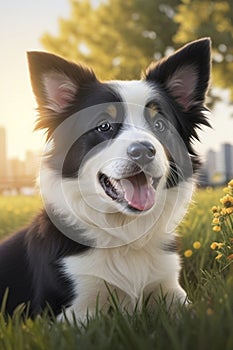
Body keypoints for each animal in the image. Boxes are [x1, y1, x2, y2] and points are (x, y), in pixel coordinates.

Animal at [0, 37, 211, 320]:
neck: (124, 235)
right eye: (103, 126)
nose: (143, 151)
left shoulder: (170, 289)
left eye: (159, 125)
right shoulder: (74, 309)